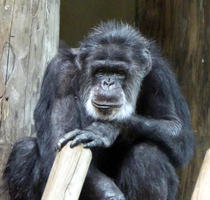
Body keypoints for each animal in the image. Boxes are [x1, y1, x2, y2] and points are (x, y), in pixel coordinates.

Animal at [3, 21, 194, 200]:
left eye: (119, 72)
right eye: (100, 71)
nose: (108, 83)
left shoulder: (160, 76)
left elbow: (177, 129)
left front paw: (107, 128)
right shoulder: (59, 74)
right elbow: (58, 142)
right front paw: (112, 195)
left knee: (148, 154)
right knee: (24, 149)